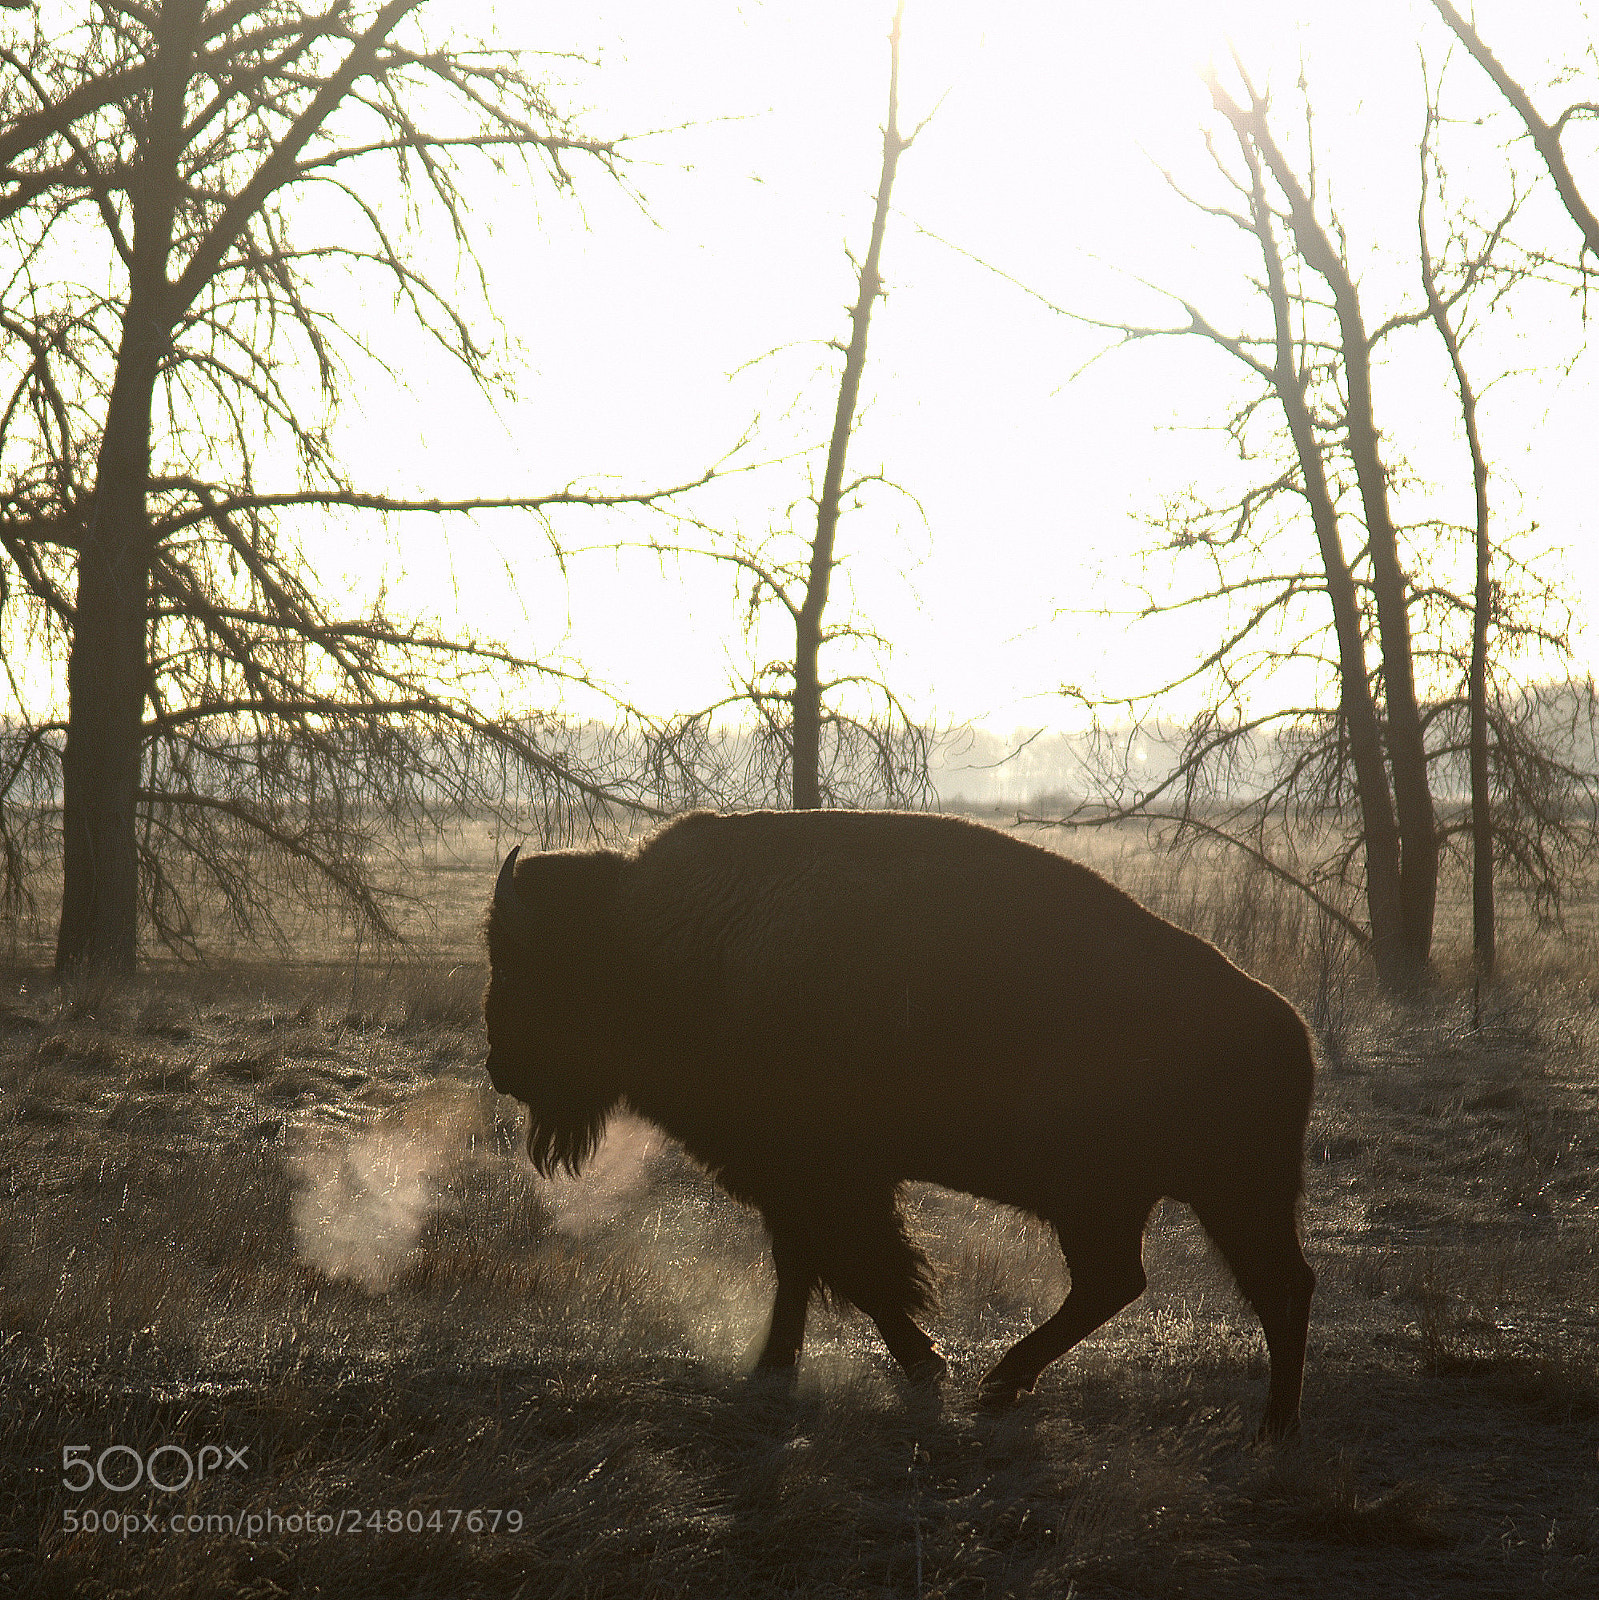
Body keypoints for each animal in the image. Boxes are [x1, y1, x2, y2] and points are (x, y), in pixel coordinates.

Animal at [483, 809, 1316, 1439]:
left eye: (526, 964)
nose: (499, 1065)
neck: (657, 939)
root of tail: (1284, 1023)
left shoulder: (830, 1179)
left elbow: (864, 1270)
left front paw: (923, 1368)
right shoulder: (795, 1184)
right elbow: (804, 1265)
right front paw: (774, 1367)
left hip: (1148, 1197)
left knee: (1164, 1282)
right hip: (1212, 1199)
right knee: (1242, 1285)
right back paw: (1264, 1424)